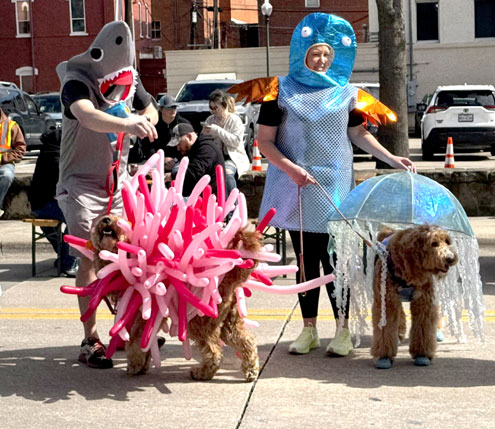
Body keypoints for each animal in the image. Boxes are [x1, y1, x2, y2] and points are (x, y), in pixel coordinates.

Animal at [371, 225, 458, 369]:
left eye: (447, 241)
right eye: (433, 243)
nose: (450, 258)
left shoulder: (424, 303)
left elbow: (423, 329)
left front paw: (422, 355)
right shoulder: (386, 302)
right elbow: (385, 330)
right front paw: (384, 356)